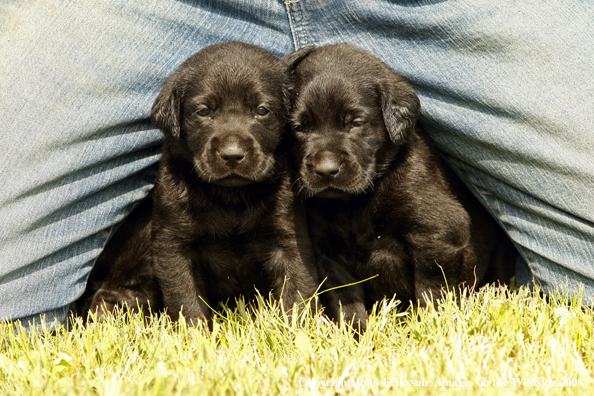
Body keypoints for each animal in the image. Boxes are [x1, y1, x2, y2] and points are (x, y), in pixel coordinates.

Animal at [148, 41, 320, 324]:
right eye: (203, 111)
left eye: (261, 110)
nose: (231, 154)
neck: (232, 198)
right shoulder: (173, 245)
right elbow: (185, 300)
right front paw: (195, 334)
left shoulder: (288, 241)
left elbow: (296, 293)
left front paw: (295, 330)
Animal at [286, 43, 512, 328]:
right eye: (299, 127)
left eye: (355, 123)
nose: (326, 169)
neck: (355, 203)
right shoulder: (327, 252)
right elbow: (345, 298)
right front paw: (355, 332)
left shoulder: (439, 233)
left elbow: (432, 290)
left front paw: (432, 327)